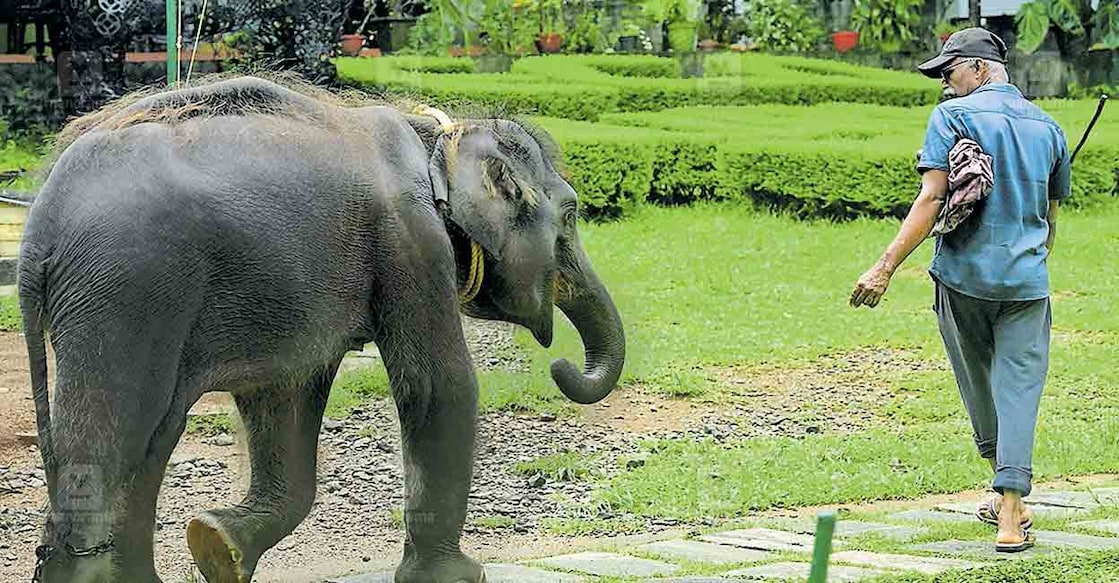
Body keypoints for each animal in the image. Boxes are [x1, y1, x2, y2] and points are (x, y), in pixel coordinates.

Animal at [19, 77, 631, 581]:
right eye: (572, 213)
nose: (562, 365)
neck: (437, 138)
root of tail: (39, 227)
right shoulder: (411, 242)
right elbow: (439, 388)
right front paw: (459, 577)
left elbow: (284, 396)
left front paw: (217, 545)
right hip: (125, 290)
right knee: (115, 443)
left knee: (152, 437)